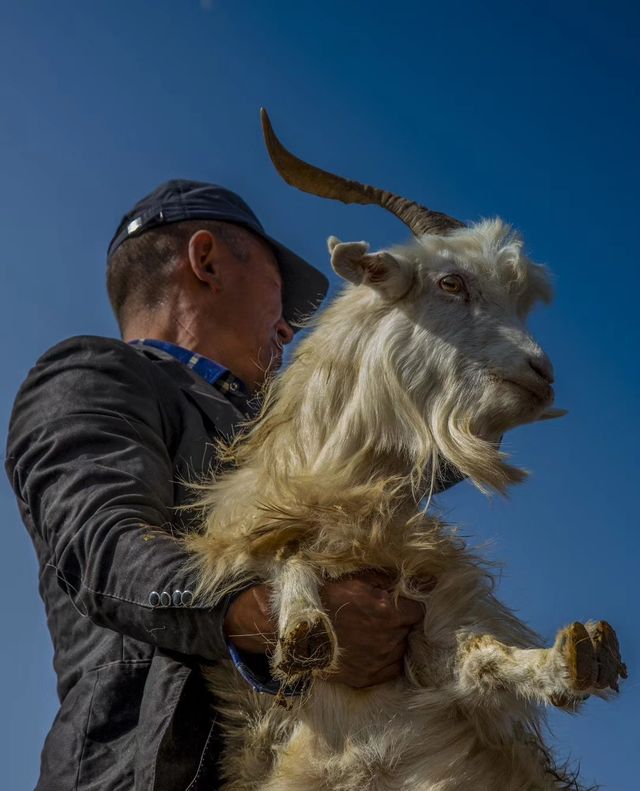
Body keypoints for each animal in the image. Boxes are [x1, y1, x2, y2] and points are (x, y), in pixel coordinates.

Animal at [188, 111, 628, 791]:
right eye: (451, 282)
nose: (543, 374)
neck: (348, 489)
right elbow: (282, 553)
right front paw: (306, 631)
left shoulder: (429, 641)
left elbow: (479, 657)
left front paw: (575, 659)